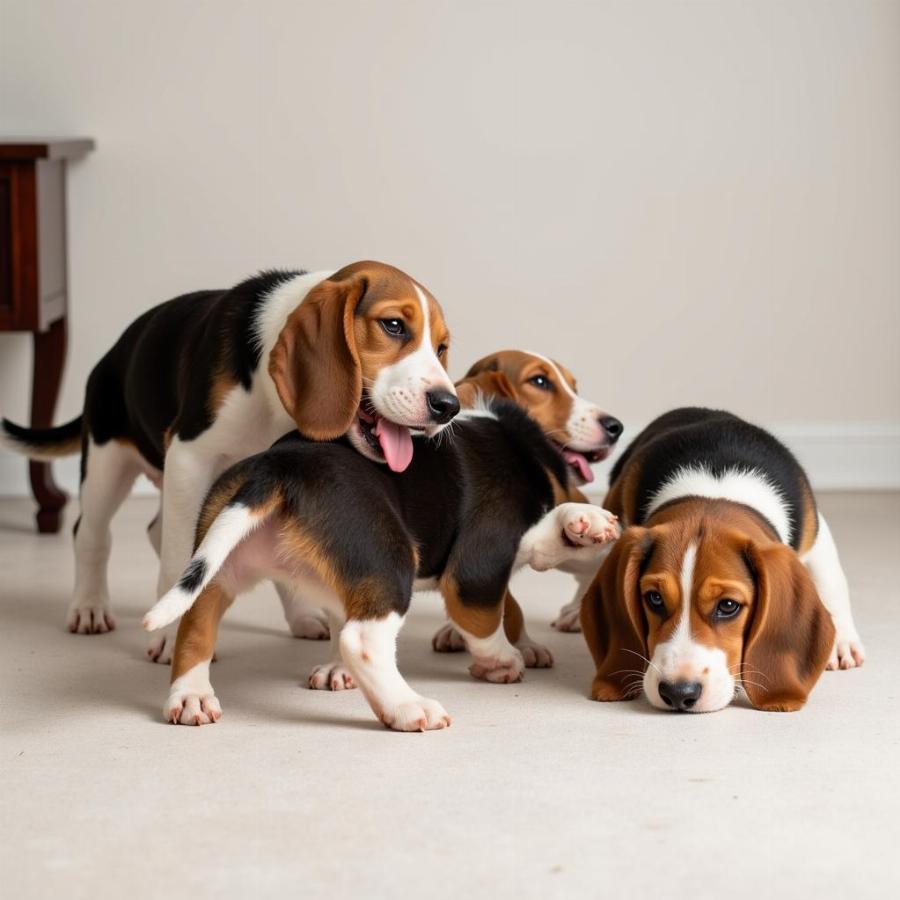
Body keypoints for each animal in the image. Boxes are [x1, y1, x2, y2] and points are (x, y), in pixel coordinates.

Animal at [0, 260, 458, 660]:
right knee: (91, 533)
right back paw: (90, 607)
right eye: (393, 325)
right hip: (106, 461)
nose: (447, 406)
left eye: (441, 347)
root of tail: (111, 354)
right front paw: (171, 636)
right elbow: (177, 557)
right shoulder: (189, 457)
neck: (270, 398)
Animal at [142, 400, 620, 732]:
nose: (615, 428)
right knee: (362, 640)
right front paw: (502, 661)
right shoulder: (479, 564)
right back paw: (408, 708)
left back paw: (191, 697)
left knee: (195, 625)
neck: (516, 442)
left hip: (218, 566)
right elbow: (484, 619)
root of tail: (280, 468)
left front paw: (585, 524)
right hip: (392, 561)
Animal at [584, 406, 864, 712]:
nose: (678, 693)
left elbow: (832, 580)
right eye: (654, 599)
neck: (715, 488)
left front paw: (843, 640)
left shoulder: (816, 531)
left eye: (728, 606)